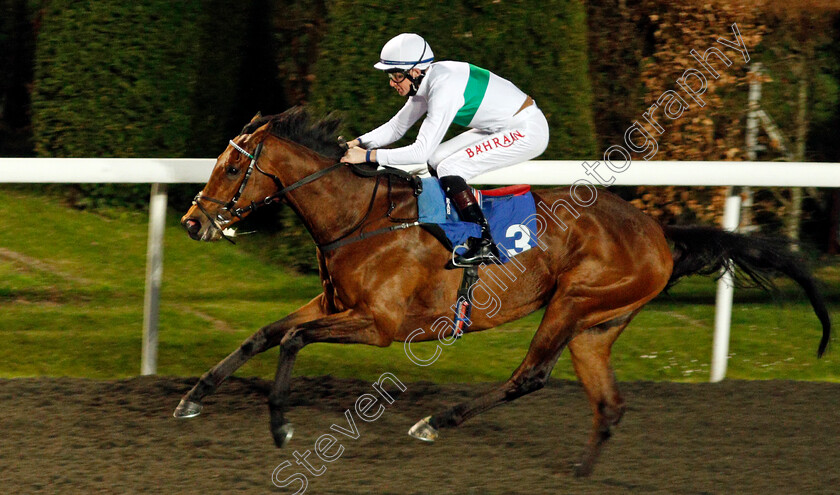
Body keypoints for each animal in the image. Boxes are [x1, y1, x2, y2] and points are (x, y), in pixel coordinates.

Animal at [174, 107, 832, 476]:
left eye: (232, 168)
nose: (191, 222)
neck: (360, 218)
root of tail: (658, 232)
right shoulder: (335, 304)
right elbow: (265, 334)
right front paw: (193, 399)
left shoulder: (379, 325)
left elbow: (292, 343)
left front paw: (280, 426)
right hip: (598, 326)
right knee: (609, 403)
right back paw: (579, 473)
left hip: (572, 301)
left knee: (530, 376)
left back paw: (436, 421)